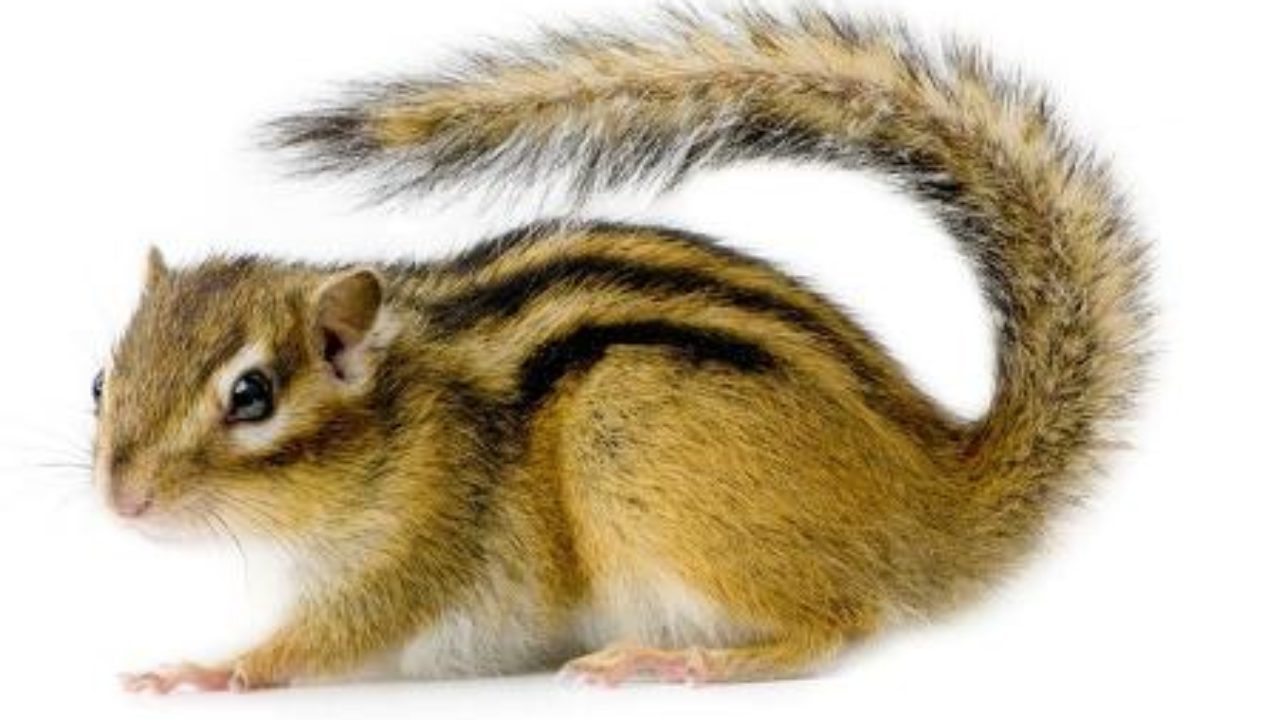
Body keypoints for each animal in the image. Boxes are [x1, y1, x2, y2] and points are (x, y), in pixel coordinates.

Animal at [102, 7, 1149, 692]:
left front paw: (209, 670)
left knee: (833, 625)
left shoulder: (425, 534)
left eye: (251, 396)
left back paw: (673, 658)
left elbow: (329, 637)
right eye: (100, 380)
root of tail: (933, 486)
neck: (398, 420)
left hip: (636, 427)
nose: (122, 501)